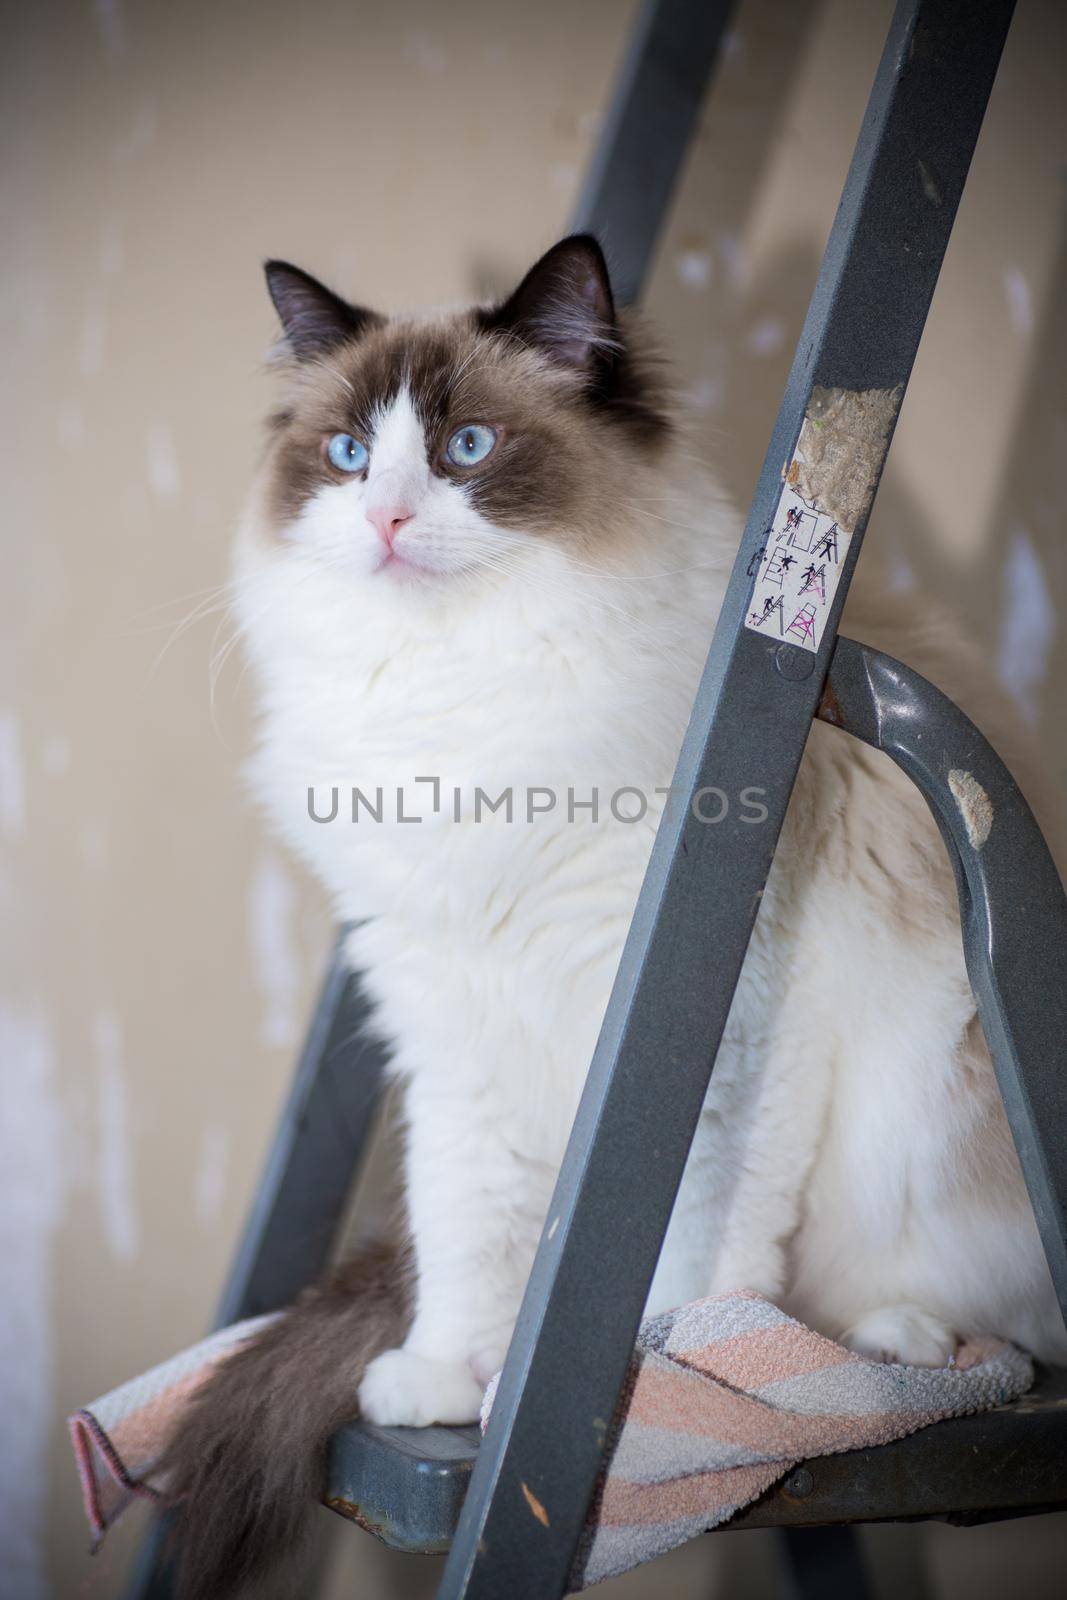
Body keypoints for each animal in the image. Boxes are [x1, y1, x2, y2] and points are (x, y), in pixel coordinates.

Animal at [163, 236, 1062, 1600]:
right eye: (350, 456)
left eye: (468, 448)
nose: (384, 518)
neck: (460, 702)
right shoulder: (449, 1022)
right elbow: (461, 1221)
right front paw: (448, 1376)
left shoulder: (718, 1019)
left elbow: (699, 1245)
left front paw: (673, 1386)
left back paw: (895, 1338)